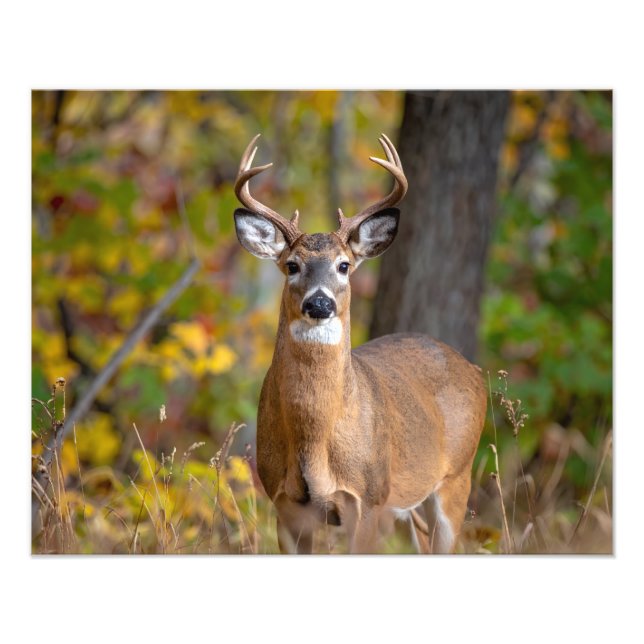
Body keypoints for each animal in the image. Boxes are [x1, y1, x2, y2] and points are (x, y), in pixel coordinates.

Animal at [233, 133, 487, 554]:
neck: (315, 437)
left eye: (344, 265)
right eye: (292, 265)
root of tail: (474, 369)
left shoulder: (368, 498)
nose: (319, 303)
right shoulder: (283, 503)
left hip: (456, 476)